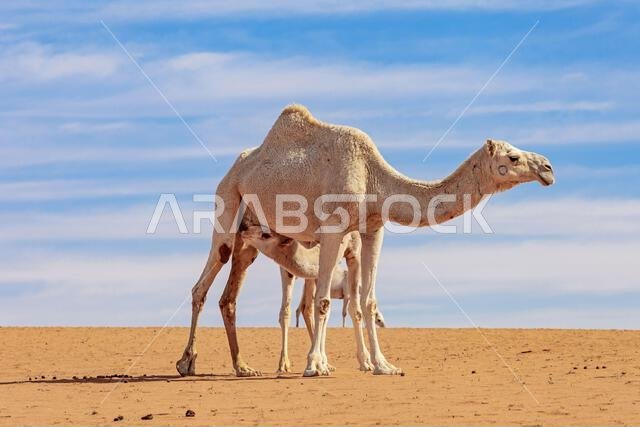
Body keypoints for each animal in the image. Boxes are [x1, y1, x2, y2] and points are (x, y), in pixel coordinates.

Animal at [176, 104, 554, 377]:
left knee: (229, 295)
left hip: (251, 235)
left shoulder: (373, 228)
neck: (374, 177)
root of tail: (233, 171)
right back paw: (186, 363)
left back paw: (242, 367)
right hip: (228, 206)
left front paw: (383, 365)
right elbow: (324, 301)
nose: (548, 168)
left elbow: (368, 302)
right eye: (513, 157)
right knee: (203, 282)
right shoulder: (332, 228)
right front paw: (316, 365)